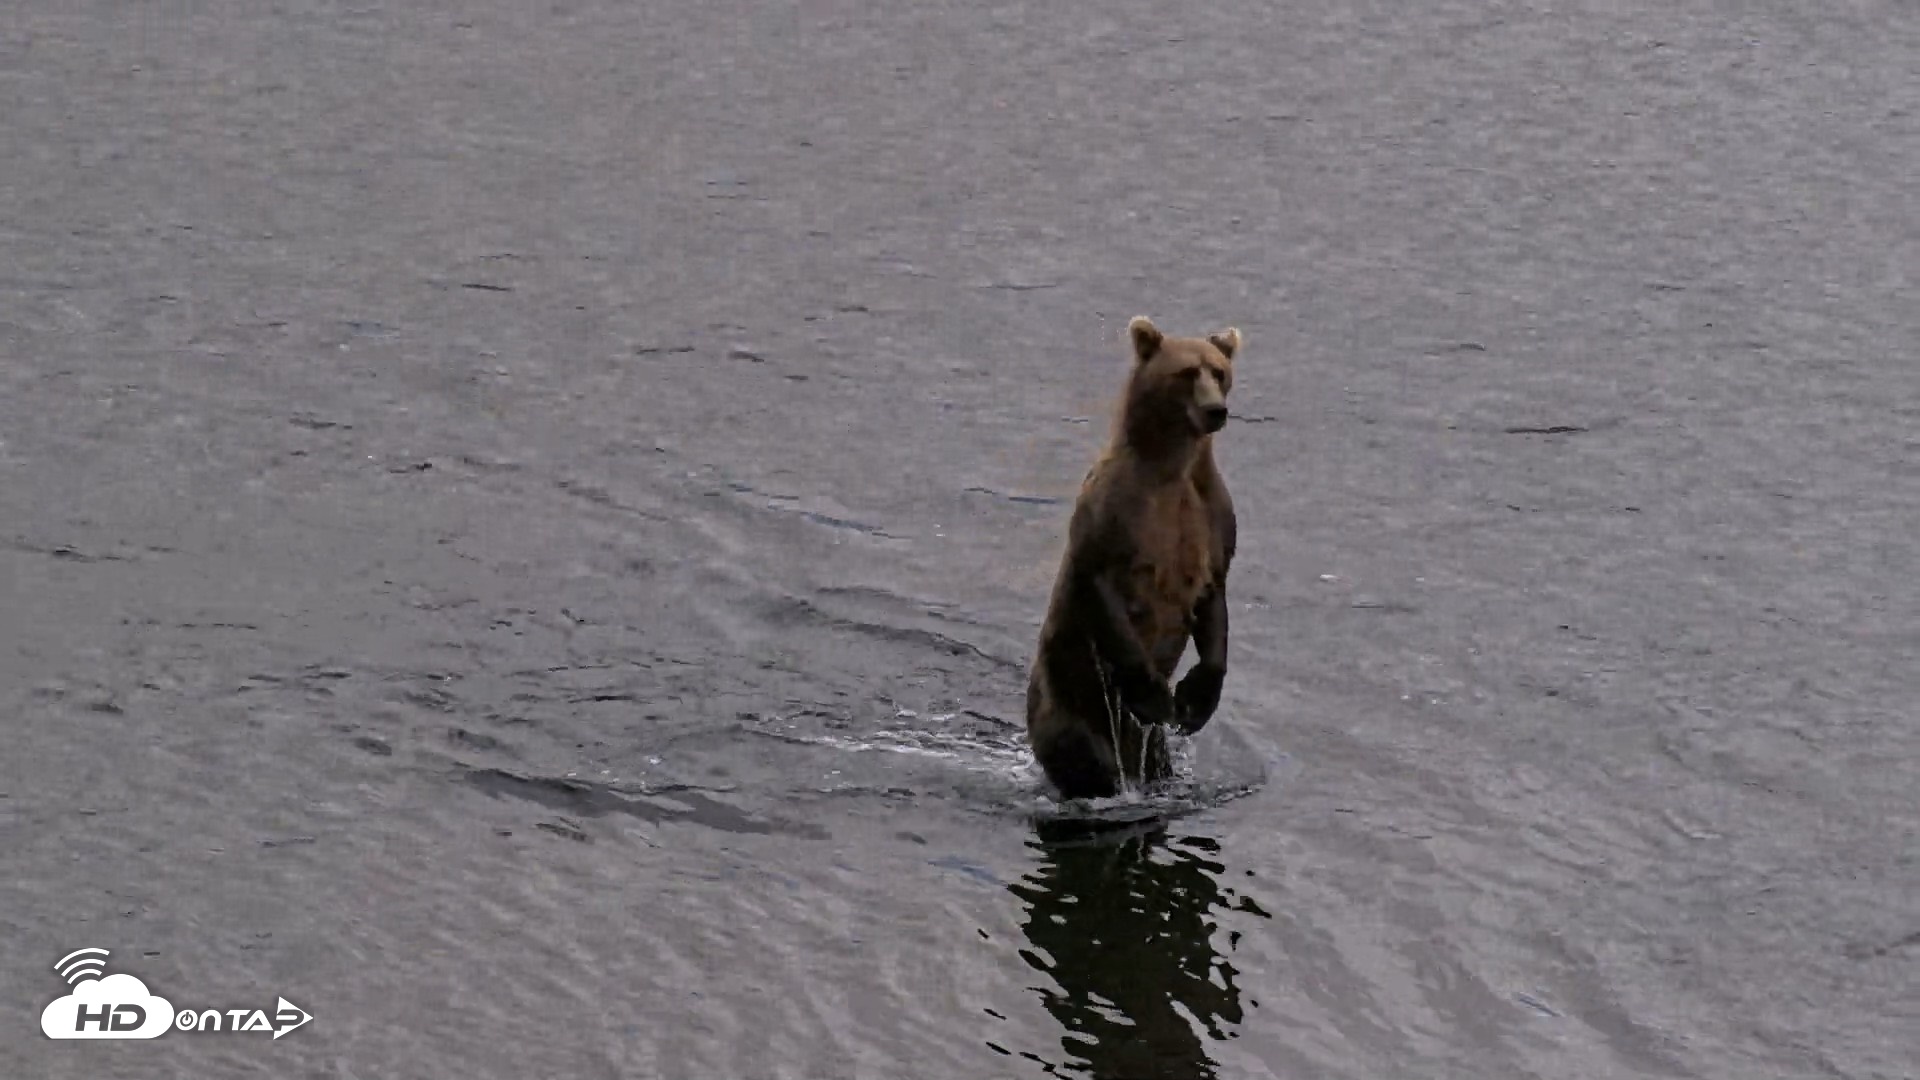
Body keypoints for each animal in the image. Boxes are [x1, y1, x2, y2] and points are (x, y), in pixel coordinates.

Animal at [1026, 315, 1242, 800]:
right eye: (1186, 372)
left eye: (1219, 372)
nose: (1215, 410)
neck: (1172, 469)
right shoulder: (1115, 516)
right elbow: (1102, 586)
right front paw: (1154, 695)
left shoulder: (1211, 519)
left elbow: (1213, 597)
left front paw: (1195, 699)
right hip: (1063, 700)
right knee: (1082, 756)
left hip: (1151, 749)